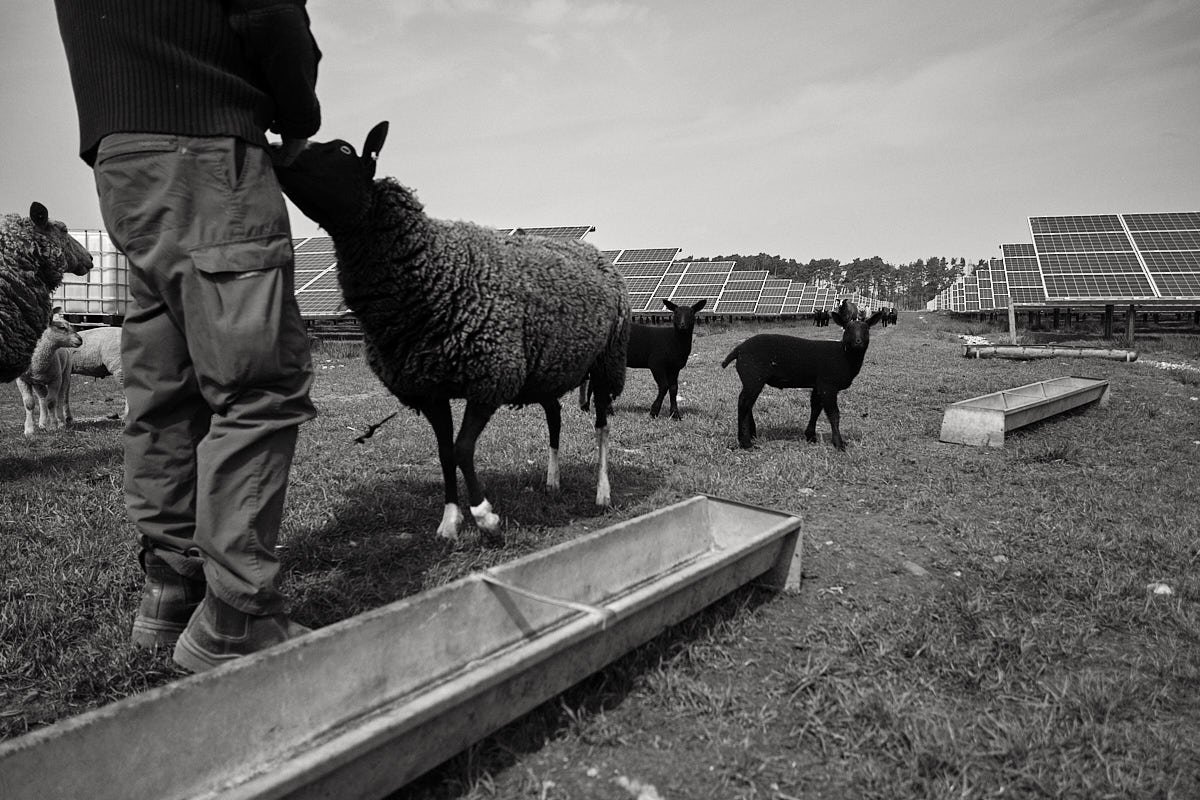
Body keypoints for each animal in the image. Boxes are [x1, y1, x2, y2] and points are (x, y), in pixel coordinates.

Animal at [16, 309, 84, 438]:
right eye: (62, 327)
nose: (80, 340)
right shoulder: (22, 380)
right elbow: (29, 404)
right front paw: (29, 430)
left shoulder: (56, 379)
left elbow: (52, 402)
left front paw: (53, 426)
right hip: (38, 383)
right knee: (42, 399)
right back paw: (42, 423)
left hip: (65, 375)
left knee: (60, 398)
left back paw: (61, 422)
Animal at [720, 307, 883, 450]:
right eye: (847, 329)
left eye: (866, 330)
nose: (858, 342)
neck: (844, 356)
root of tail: (739, 349)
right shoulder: (828, 384)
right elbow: (833, 414)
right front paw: (839, 443)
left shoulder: (818, 385)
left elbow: (816, 408)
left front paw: (811, 436)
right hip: (753, 376)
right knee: (744, 403)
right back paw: (745, 443)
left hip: (751, 379)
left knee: (748, 404)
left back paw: (752, 435)